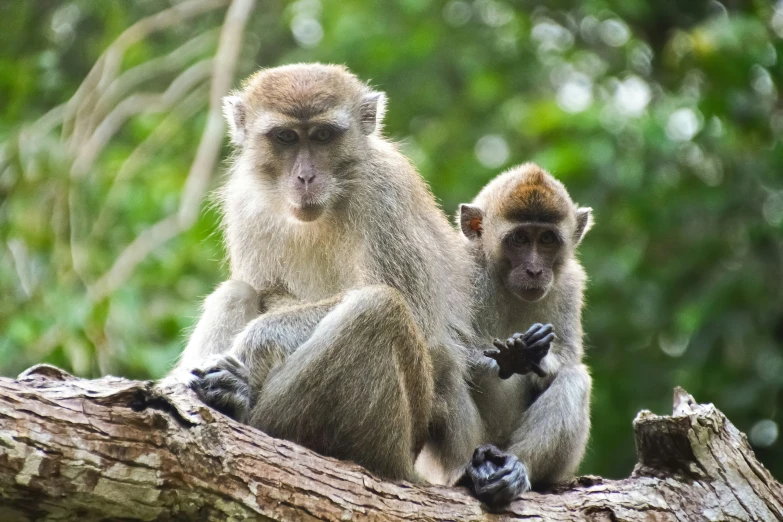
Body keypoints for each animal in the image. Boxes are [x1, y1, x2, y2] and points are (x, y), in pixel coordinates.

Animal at [166, 63, 484, 482]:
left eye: (323, 136)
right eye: (285, 137)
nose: (305, 177)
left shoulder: (385, 195)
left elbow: (424, 324)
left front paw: (256, 344)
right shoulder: (246, 202)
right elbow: (265, 291)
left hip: (395, 431)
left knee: (377, 309)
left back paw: (243, 405)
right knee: (239, 291)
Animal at [454, 162, 596, 504]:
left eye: (546, 239)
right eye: (519, 239)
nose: (534, 270)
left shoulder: (570, 284)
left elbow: (568, 358)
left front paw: (537, 355)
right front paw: (511, 357)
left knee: (575, 378)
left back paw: (514, 469)